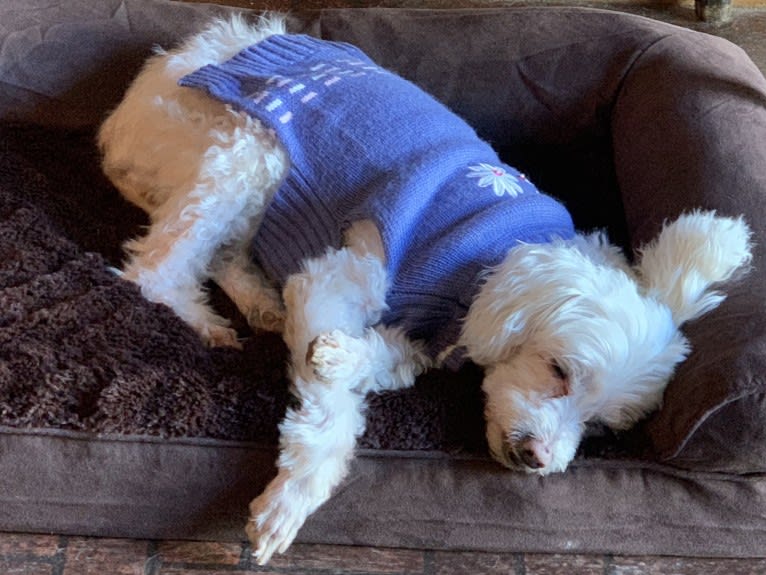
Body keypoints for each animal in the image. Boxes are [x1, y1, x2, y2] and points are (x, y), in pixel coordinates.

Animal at [97, 14, 756, 568]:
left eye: (598, 430)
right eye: (559, 371)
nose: (540, 462)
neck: (484, 266)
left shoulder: (427, 337)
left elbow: (391, 364)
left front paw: (343, 354)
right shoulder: (338, 279)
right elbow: (331, 412)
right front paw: (292, 498)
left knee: (223, 252)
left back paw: (259, 301)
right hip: (244, 149)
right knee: (156, 268)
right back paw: (203, 318)